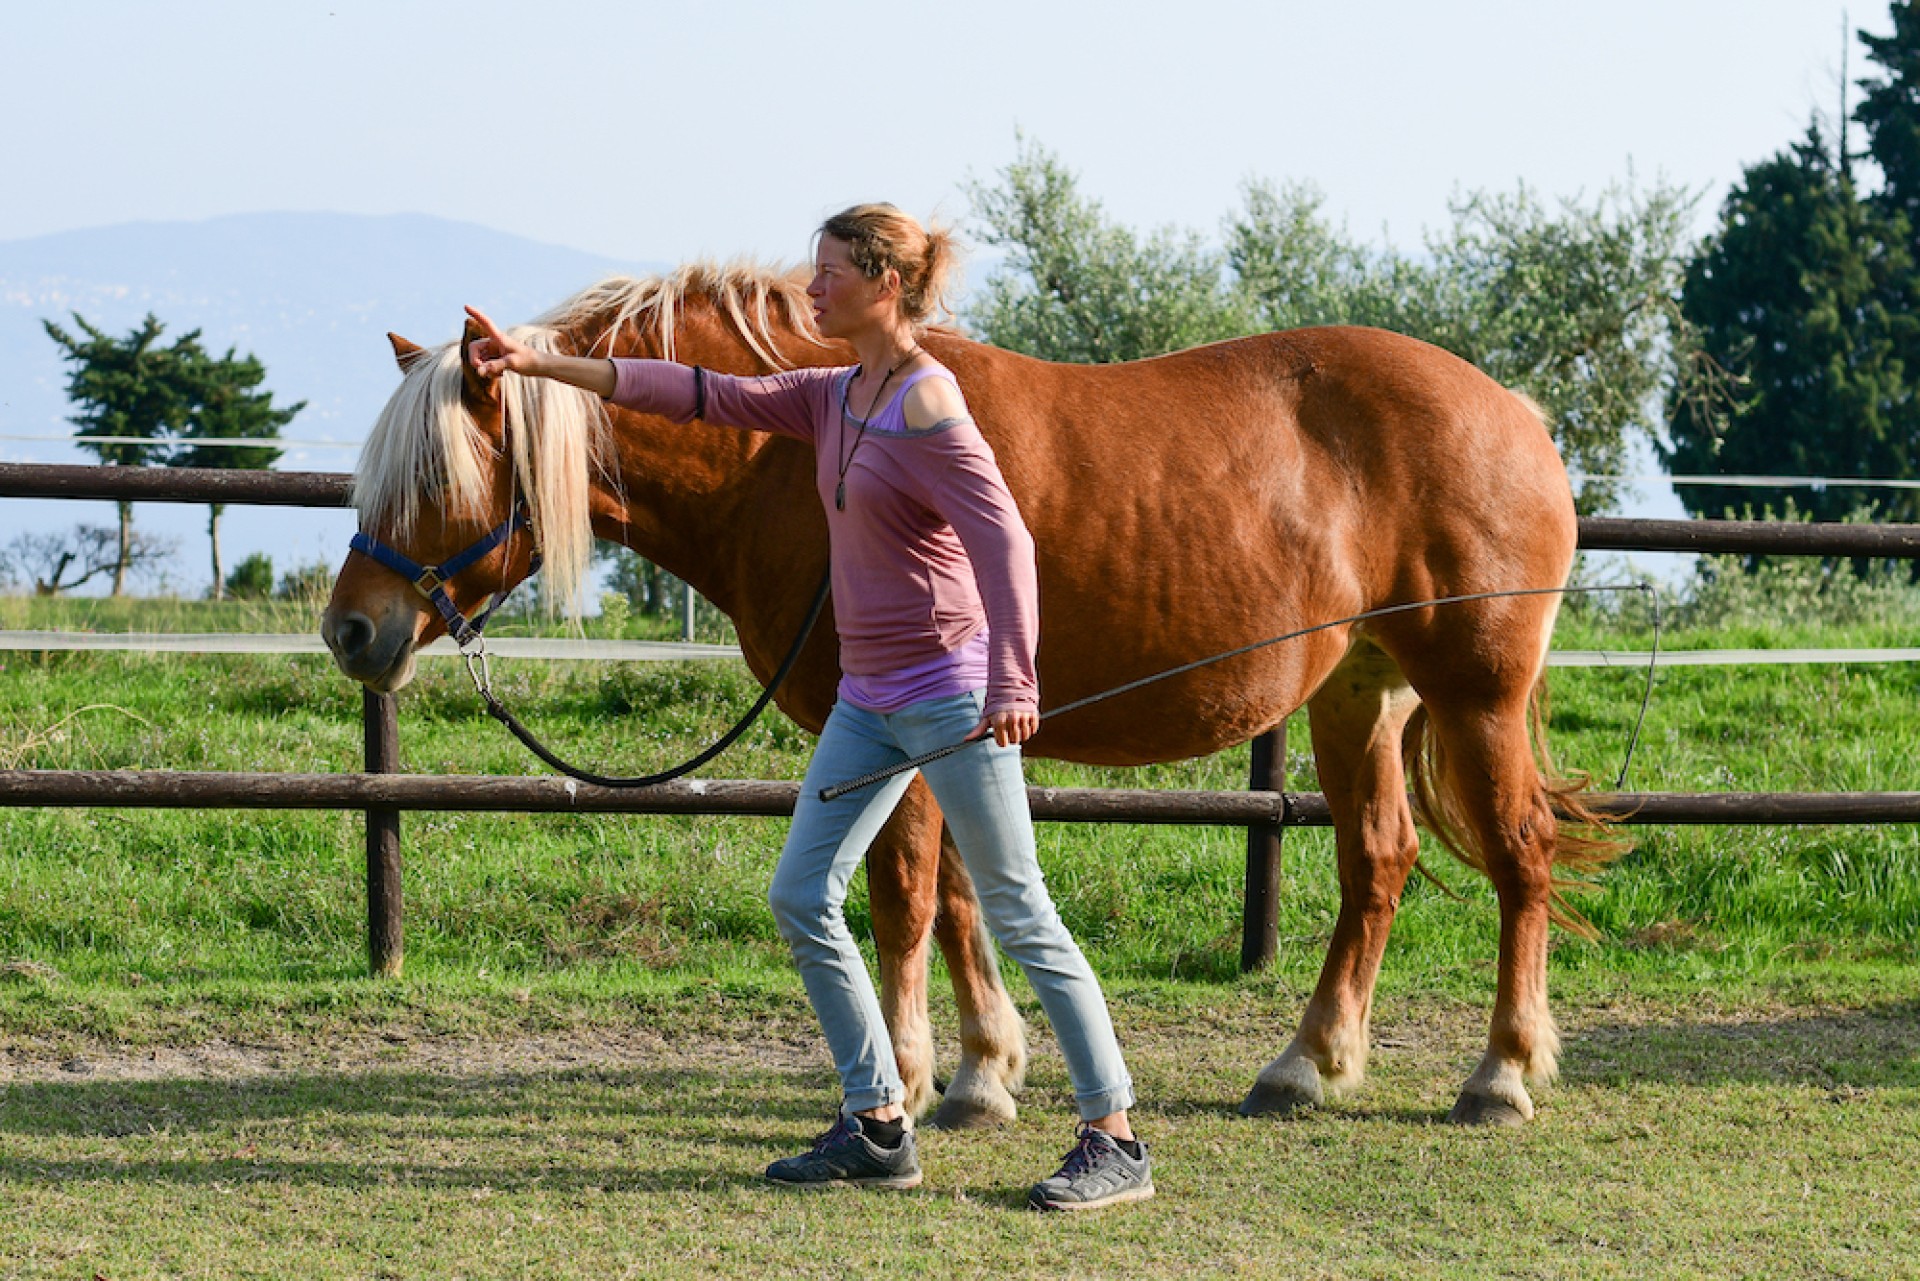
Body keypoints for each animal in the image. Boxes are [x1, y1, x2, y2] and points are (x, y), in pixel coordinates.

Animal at [326, 263, 1620, 1129]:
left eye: (434, 475)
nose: (351, 628)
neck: (792, 456)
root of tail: (1512, 412)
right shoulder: (937, 740)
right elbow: (956, 903)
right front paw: (985, 1069)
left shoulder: (892, 733)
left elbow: (901, 901)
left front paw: (900, 1077)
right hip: (1362, 694)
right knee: (1377, 863)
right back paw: (1307, 1063)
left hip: (1475, 692)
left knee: (1519, 853)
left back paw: (1502, 1074)